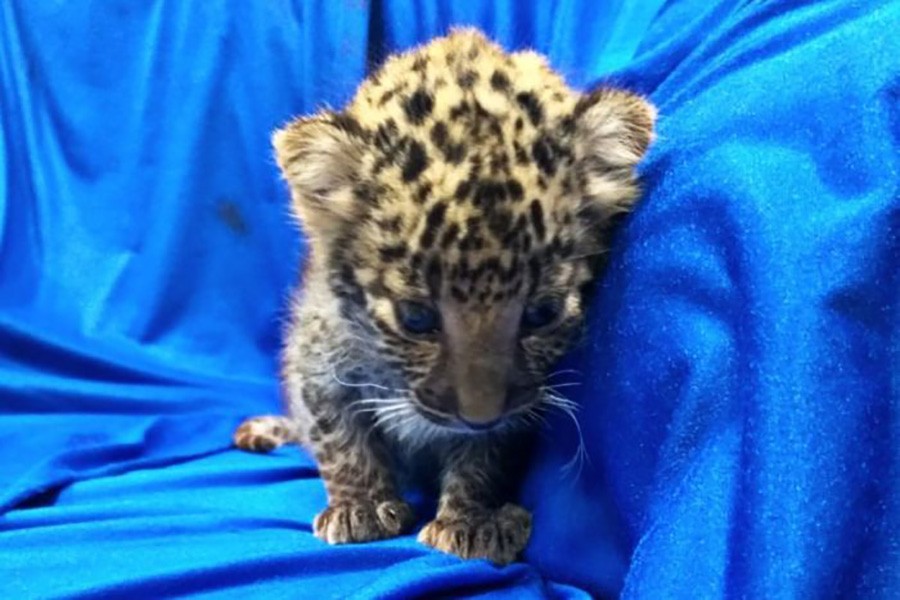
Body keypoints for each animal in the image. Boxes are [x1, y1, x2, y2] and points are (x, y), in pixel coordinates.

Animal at [234, 28, 655, 565]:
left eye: (541, 313)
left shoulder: (516, 415)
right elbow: (336, 434)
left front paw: (471, 519)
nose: (478, 416)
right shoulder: (315, 359)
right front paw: (360, 506)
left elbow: (487, 455)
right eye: (415, 319)